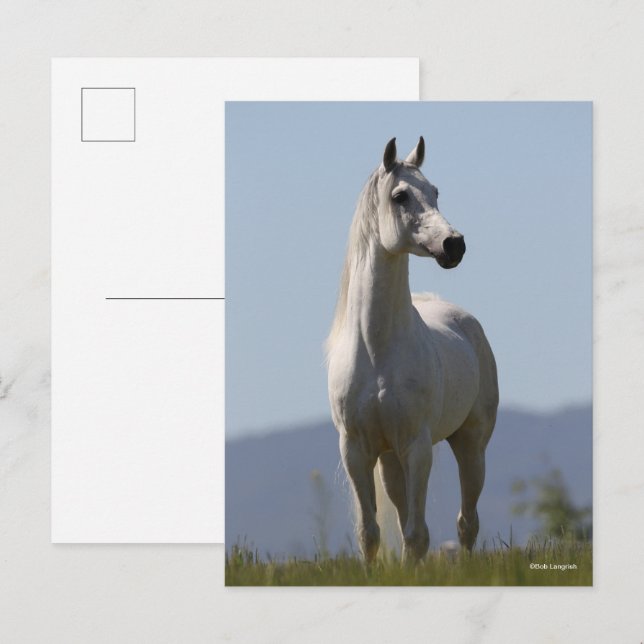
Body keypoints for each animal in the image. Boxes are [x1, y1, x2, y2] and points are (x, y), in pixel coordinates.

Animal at [326, 137, 498, 562]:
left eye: (435, 191)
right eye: (400, 195)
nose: (454, 244)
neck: (376, 349)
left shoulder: (417, 447)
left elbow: (418, 535)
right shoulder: (356, 450)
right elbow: (370, 533)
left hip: (471, 445)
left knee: (467, 522)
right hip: (390, 460)